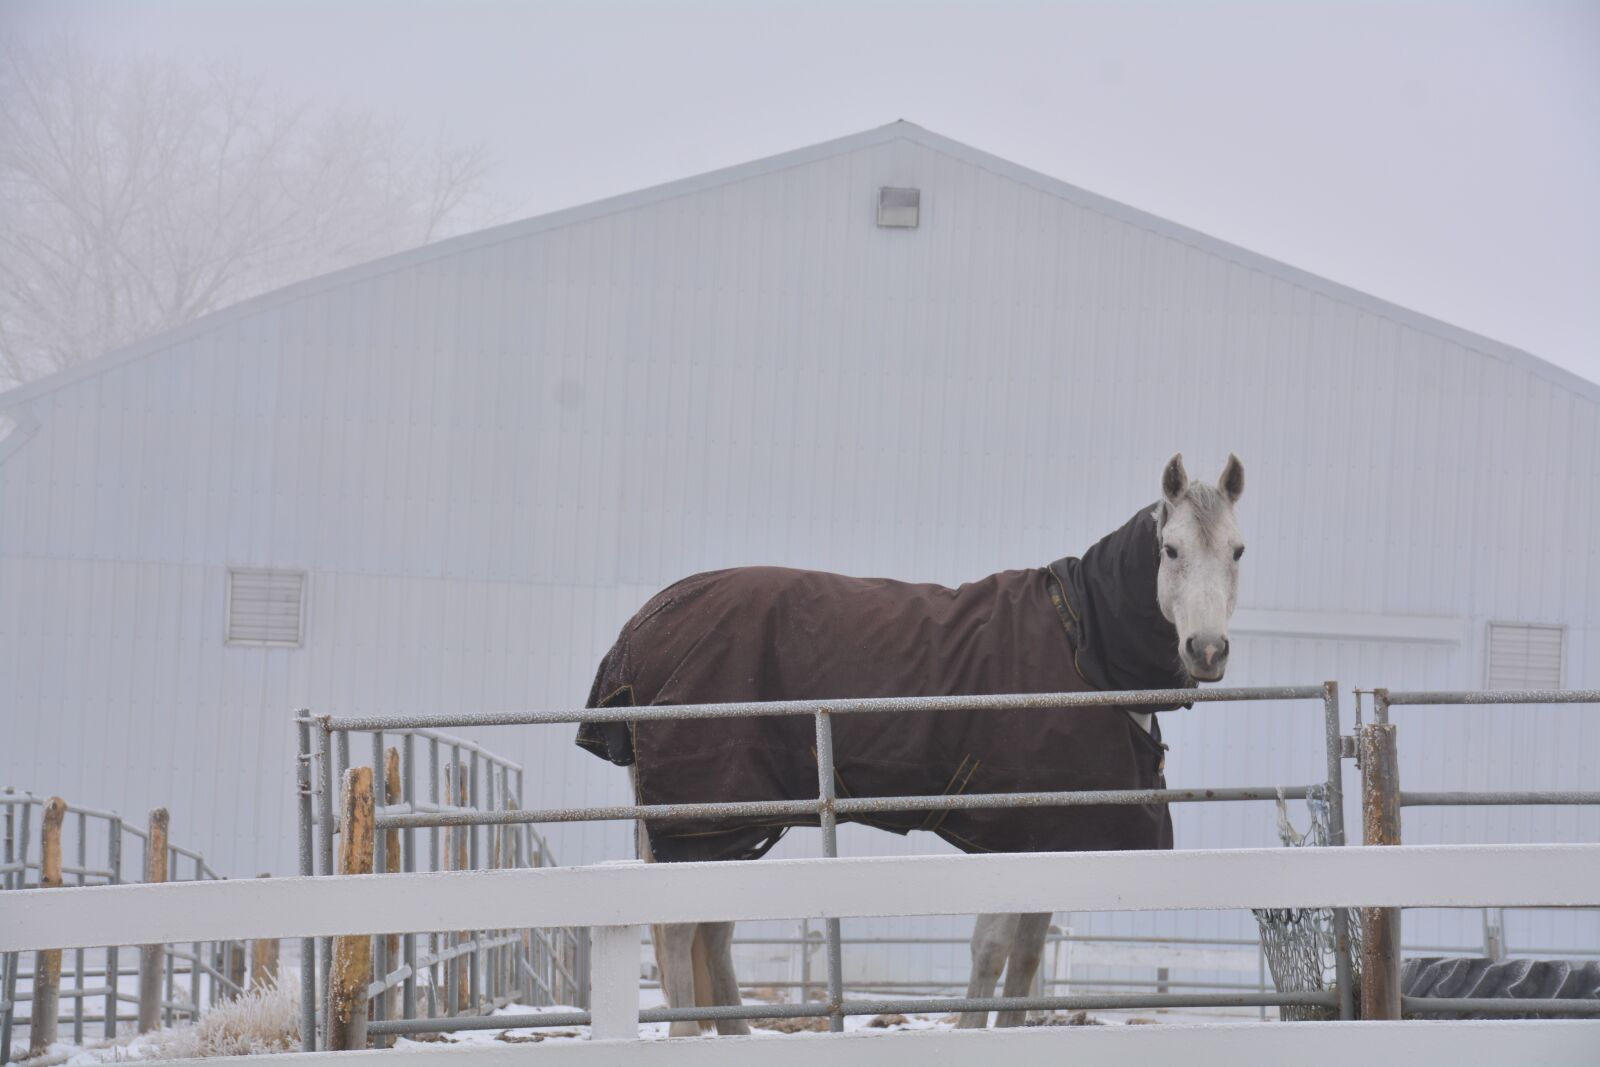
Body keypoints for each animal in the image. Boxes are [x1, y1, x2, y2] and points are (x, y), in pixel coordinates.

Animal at [576, 453, 1246, 1034]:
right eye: (1171, 549)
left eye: (1238, 550)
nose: (1207, 651)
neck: (1084, 646)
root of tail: (642, 628)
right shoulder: (1010, 834)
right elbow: (992, 948)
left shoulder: (1054, 837)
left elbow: (1027, 956)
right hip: (700, 817)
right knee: (678, 927)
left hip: (733, 824)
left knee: (712, 930)